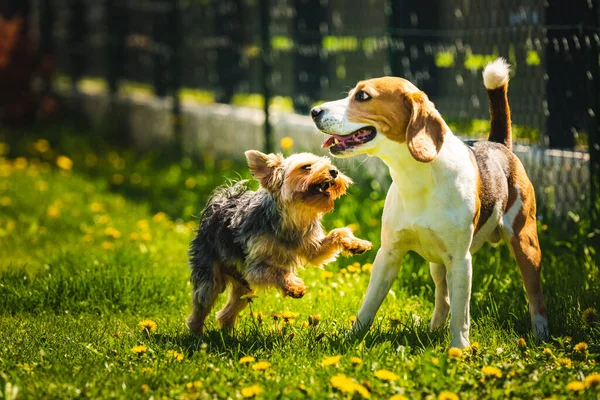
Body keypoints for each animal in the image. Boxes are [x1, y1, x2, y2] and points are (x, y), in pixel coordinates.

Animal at [312, 57, 552, 348]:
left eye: (363, 96)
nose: (314, 111)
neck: (415, 179)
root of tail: (498, 144)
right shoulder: (388, 254)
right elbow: (368, 305)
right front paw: (352, 337)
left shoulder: (460, 261)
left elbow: (462, 314)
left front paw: (459, 349)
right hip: (437, 262)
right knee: (443, 298)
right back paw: (434, 329)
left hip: (525, 245)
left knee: (535, 297)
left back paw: (541, 334)